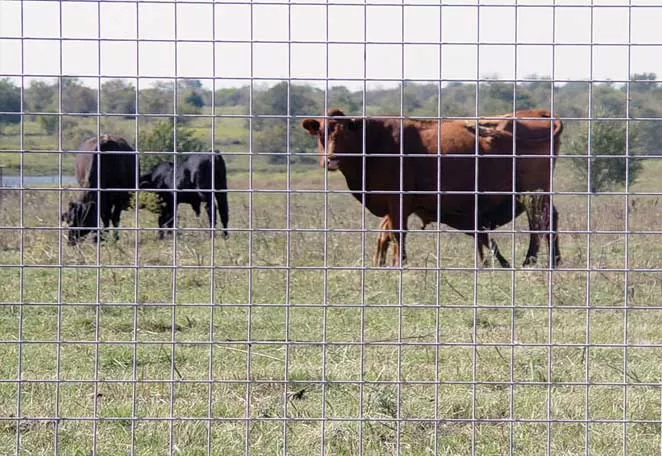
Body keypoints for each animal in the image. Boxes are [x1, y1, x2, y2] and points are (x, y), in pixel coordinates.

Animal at [304, 108, 564, 268]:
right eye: (321, 133)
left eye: (344, 133)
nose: (331, 160)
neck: (375, 141)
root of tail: (537, 113)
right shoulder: (395, 205)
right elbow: (384, 234)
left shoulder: (398, 200)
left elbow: (397, 233)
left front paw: (399, 264)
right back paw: (550, 261)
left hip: (533, 193)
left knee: (541, 222)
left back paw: (533, 262)